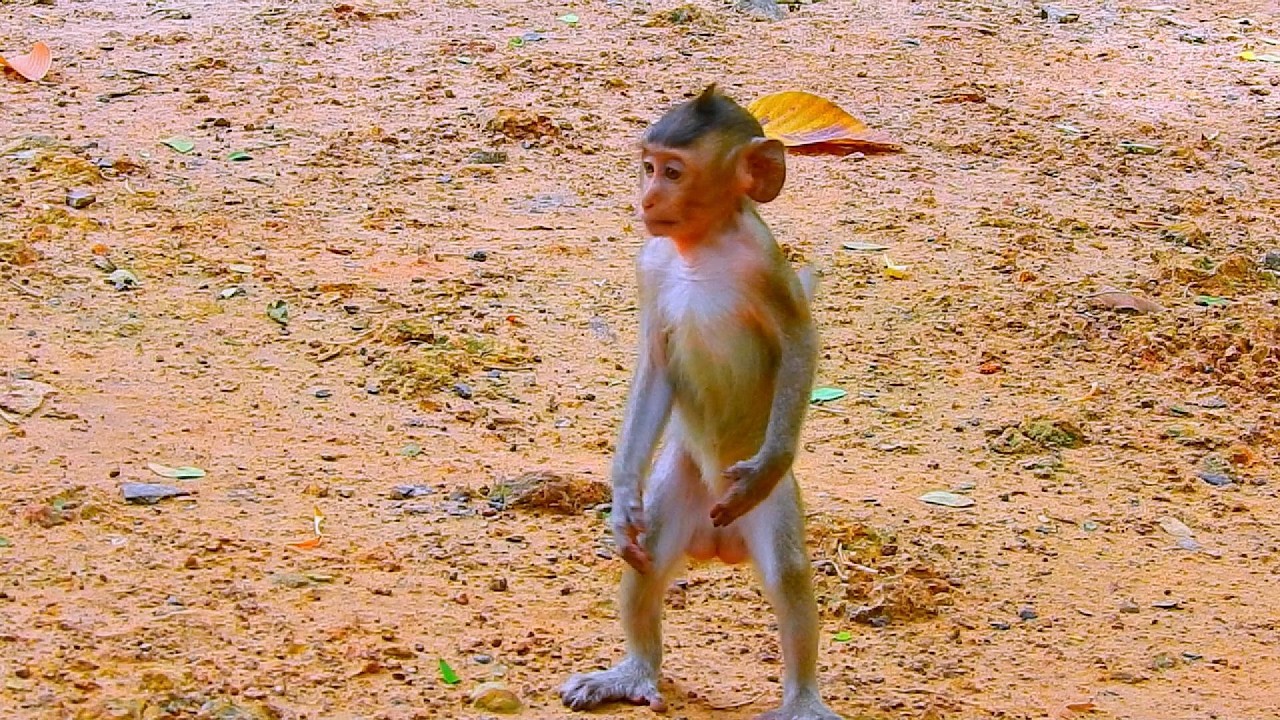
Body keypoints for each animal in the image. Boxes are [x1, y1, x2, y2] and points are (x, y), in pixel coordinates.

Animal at [560, 85, 842, 720]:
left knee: (788, 574)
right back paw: (634, 670)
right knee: (646, 563)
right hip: (679, 488)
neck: (699, 250)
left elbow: (800, 342)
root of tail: (720, 545)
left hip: (763, 510)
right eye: (647, 166)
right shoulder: (650, 264)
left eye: (673, 171)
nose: (647, 197)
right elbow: (654, 366)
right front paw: (621, 498)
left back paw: (803, 699)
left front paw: (768, 464)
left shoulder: (765, 263)